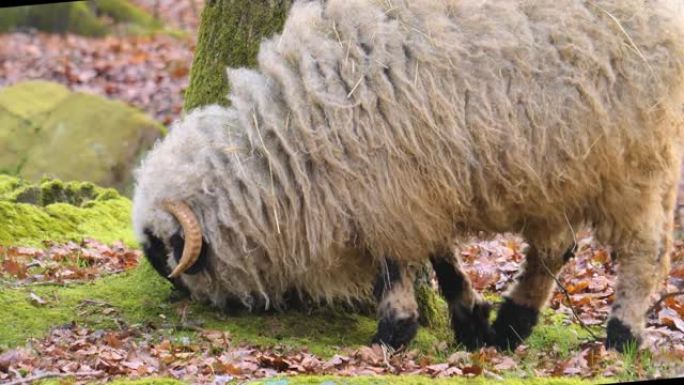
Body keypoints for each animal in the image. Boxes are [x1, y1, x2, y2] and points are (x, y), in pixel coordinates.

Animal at [132, 0, 684, 352]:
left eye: (166, 255)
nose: (175, 298)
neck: (284, 143)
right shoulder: (418, 188)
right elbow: (441, 258)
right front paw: (470, 319)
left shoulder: (387, 189)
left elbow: (394, 265)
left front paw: (392, 333)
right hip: (553, 168)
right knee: (555, 248)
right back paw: (512, 326)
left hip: (636, 160)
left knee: (647, 248)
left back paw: (621, 335)